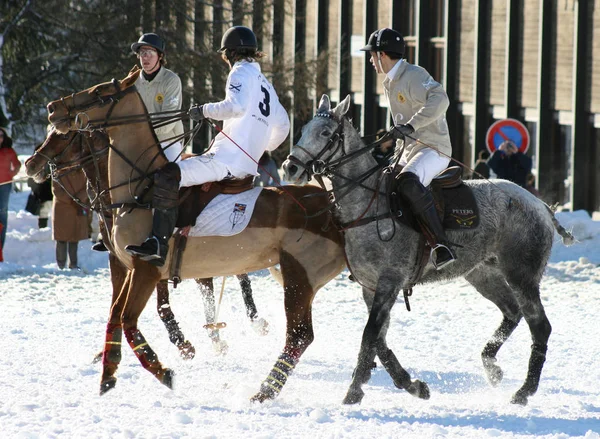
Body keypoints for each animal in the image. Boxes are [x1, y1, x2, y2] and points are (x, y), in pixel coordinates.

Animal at [24, 129, 264, 360]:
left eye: (64, 135)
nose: (30, 164)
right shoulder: (118, 260)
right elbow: (116, 302)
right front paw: (105, 350)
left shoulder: (152, 259)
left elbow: (161, 305)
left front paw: (183, 344)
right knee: (214, 283)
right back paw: (218, 334)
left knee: (237, 277)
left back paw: (252, 323)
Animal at [284, 94, 576, 408]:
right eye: (302, 130)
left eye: (326, 133)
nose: (290, 168)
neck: (368, 205)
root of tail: (541, 205)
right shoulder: (370, 286)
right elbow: (379, 339)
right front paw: (412, 384)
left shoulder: (390, 280)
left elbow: (370, 334)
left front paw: (353, 392)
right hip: (482, 274)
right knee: (512, 312)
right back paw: (492, 367)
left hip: (522, 274)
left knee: (540, 325)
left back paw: (524, 391)